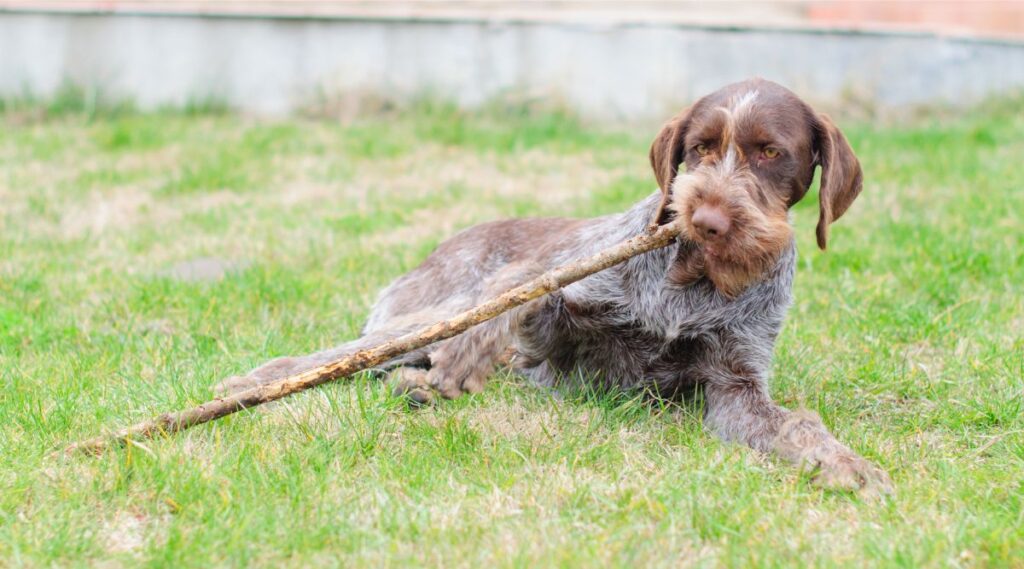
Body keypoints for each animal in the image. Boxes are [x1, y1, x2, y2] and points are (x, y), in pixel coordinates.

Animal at [220, 78, 892, 493]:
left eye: (770, 152)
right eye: (700, 148)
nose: (707, 220)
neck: (691, 285)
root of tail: (446, 243)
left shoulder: (734, 389)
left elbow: (795, 425)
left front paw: (844, 462)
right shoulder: (559, 319)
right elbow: (526, 291)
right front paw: (461, 362)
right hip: (427, 312)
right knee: (345, 353)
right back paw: (257, 381)